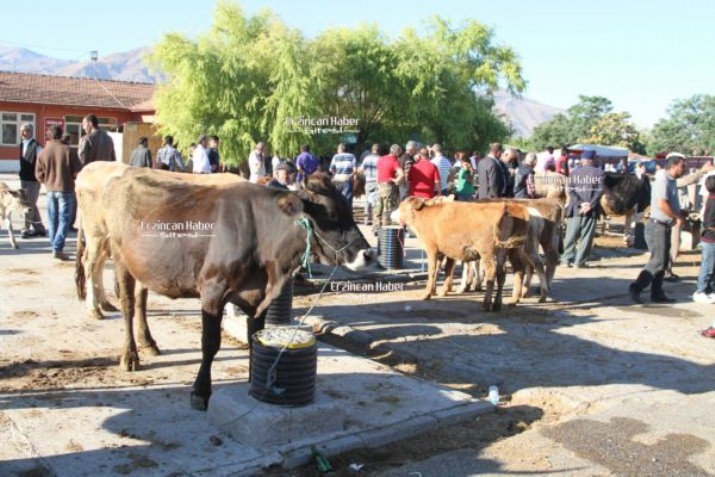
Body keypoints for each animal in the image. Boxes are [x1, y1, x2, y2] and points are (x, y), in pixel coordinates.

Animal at [105, 168, 380, 410]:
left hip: (143, 266)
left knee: (141, 301)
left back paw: (149, 343)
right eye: (332, 215)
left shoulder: (258, 296)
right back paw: (130, 356)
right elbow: (210, 343)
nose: (368, 254)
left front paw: (253, 381)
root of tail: (127, 175)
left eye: (348, 209)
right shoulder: (212, 291)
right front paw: (200, 392)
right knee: (128, 305)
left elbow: (254, 337)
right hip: (120, 258)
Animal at [398, 196, 532, 310]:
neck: (425, 216)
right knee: (507, 273)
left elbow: (432, 271)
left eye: (402, 207)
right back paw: (500, 304)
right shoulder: (442, 252)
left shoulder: (432, 249)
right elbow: (442, 270)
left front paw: (427, 294)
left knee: (491, 272)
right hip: (509, 250)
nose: (396, 216)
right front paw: (435, 291)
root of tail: (506, 206)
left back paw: (486, 304)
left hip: (487, 250)